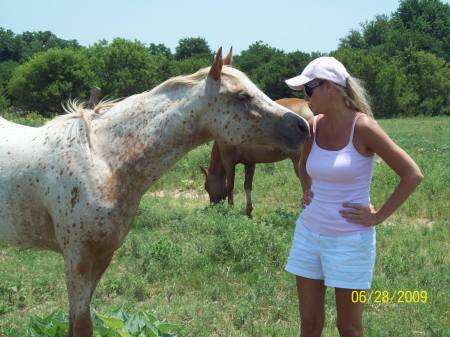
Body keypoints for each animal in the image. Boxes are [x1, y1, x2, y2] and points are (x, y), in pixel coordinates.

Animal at [0, 47, 310, 336]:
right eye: (242, 96)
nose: (302, 127)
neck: (102, 159)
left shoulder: (102, 255)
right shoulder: (77, 256)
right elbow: (81, 324)